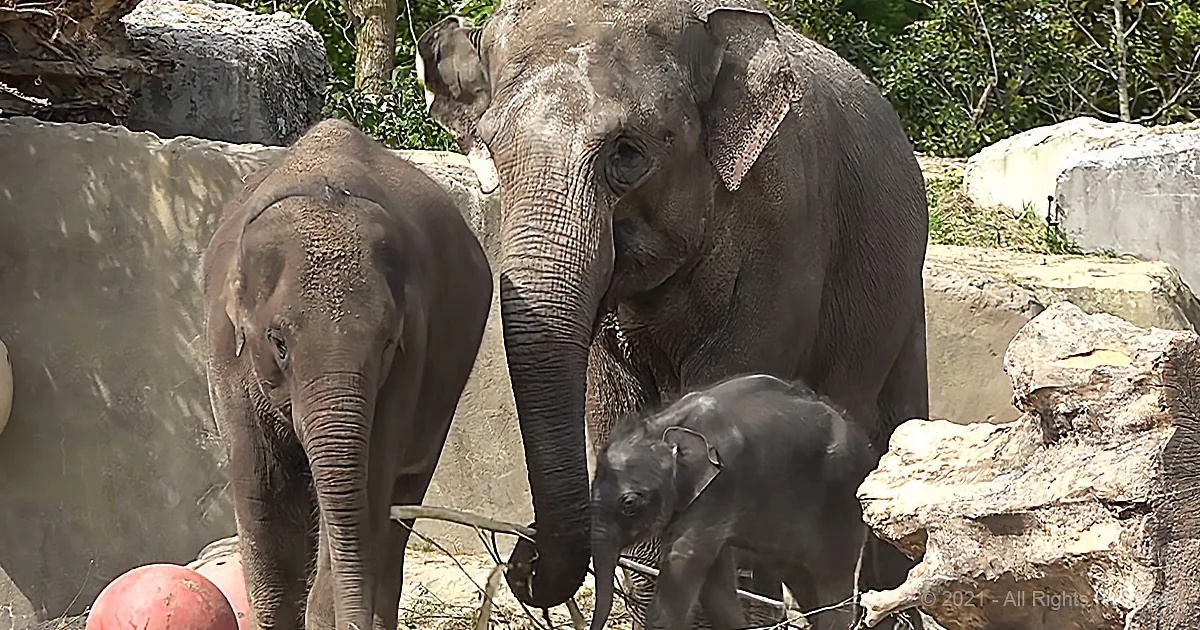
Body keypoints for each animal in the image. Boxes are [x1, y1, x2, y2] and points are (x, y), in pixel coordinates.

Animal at [201, 118, 493, 630]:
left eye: (387, 342)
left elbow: (365, 492)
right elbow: (263, 491)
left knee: (396, 513)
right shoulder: (226, 353)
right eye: (278, 342)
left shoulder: (410, 359)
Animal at [587, 374, 878, 630]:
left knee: (832, 579)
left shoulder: (721, 486)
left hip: (842, 501)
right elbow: (714, 584)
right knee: (799, 576)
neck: (665, 426)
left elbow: (686, 557)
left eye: (629, 503)